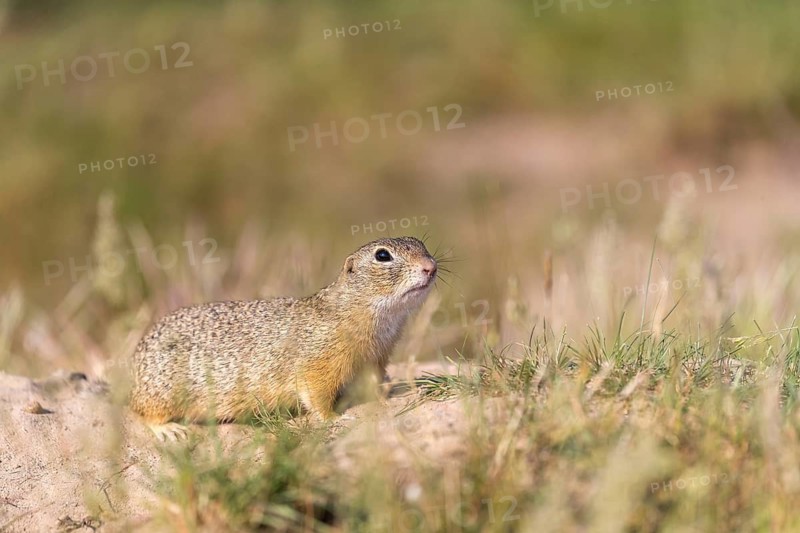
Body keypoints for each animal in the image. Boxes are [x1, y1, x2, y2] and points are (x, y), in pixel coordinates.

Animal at [129, 236, 438, 440]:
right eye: (382, 256)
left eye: (421, 243)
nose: (431, 266)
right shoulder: (318, 364)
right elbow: (316, 396)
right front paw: (335, 418)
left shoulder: (376, 359)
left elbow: (372, 383)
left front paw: (390, 390)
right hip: (162, 393)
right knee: (144, 414)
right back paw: (169, 430)